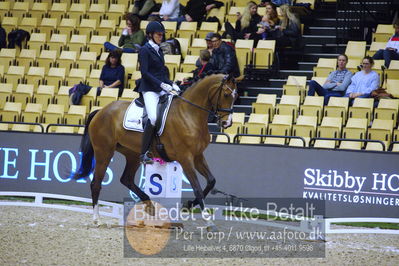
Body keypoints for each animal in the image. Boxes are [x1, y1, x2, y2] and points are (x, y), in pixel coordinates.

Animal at [73, 74, 238, 228]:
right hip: (104, 151)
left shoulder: (197, 156)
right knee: (96, 183)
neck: (188, 114)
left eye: (236, 96)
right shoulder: (185, 158)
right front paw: (208, 221)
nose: (227, 123)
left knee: (126, 179)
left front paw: (188, 205)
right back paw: (97, 219)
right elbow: (196, 187)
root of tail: (101, 111)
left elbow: (211, 181)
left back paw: (150, 206)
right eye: (226, 95)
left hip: (132, 154)